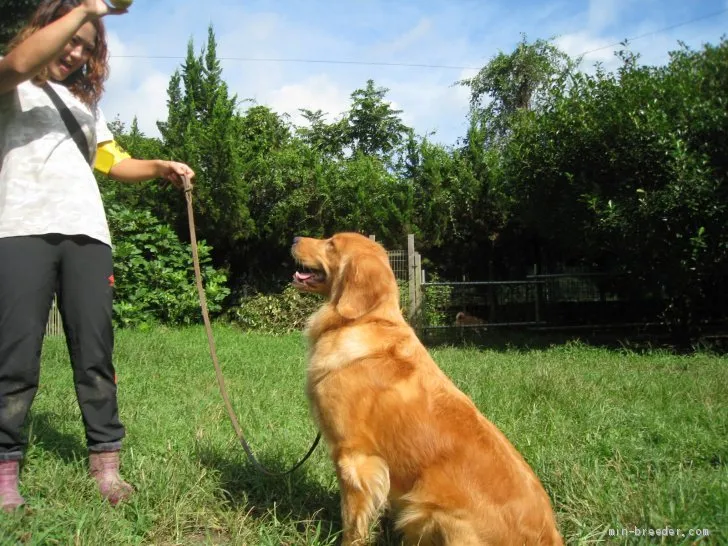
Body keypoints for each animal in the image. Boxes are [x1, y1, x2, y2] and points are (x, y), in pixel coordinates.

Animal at [290, 233, 564, 544]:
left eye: (331, 244)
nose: (296, 237)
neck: (361, 321)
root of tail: (549, 535)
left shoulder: (354, 456)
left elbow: (353, 521)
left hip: (433, 512)